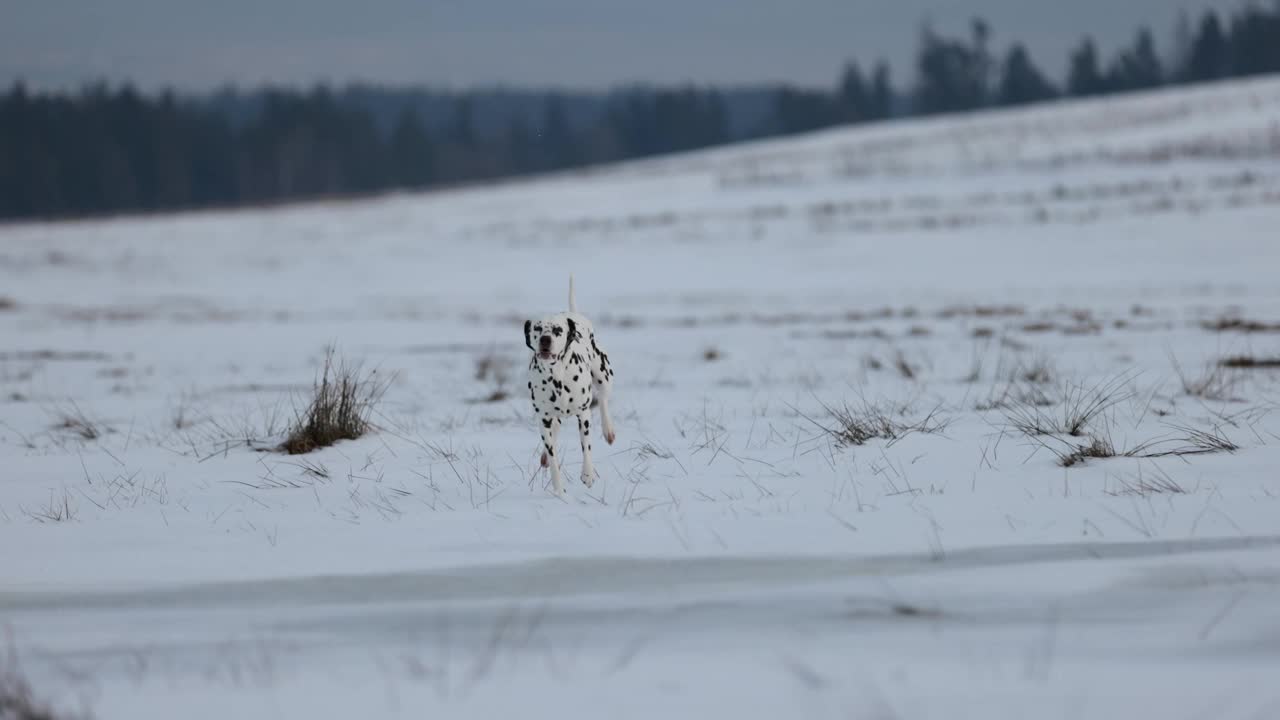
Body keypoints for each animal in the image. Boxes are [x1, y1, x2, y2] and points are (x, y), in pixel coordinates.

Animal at [524, 274, 614, 491]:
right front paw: (558, 489)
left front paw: (588, 475)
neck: (556, 376)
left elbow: (586, 448)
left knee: (604, 398)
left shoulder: (584, 415)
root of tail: (573, 313)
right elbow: (553, 455)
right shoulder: (544, 420)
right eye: (537, 328)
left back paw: (608, 430)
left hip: (603, 374)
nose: (545, 340)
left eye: (558, 330)